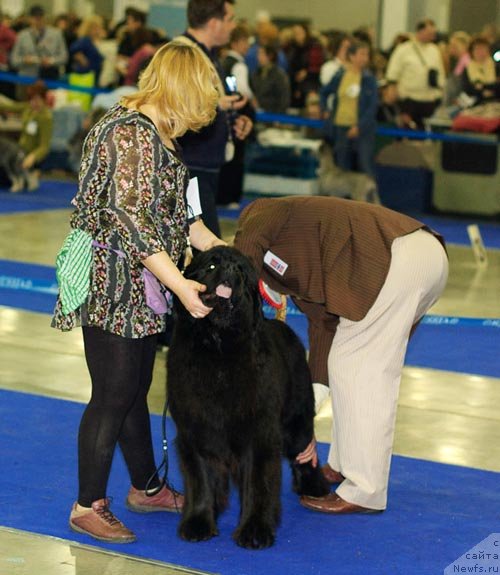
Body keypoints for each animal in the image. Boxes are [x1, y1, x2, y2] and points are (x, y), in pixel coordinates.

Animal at [168, 246, 330, 548]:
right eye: (211, 265)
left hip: (295, 417)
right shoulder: (195, 430)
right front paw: (198, 523)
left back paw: (314, 487)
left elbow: (258, 482)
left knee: (304, 449)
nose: (231, 270)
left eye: (242, 272)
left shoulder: (259, 432)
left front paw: (255, 531)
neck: (218, 348)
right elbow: (201, 479)